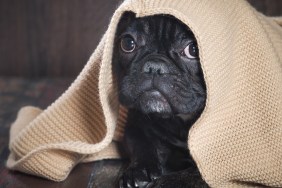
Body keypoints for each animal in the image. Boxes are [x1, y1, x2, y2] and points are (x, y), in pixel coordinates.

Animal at [112, 12, 207, 187]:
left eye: (193, 50)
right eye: (128, 43)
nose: (154, 67)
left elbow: (197, 174)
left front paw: (166, 182)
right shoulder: (135, 124)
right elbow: (140, 142)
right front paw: (139, 171)